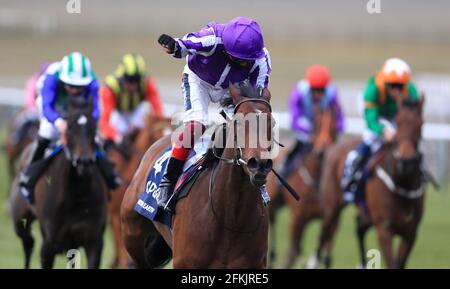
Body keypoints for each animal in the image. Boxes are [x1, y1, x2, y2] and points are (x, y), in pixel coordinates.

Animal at [9, 96, 108, 268]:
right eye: (69, 129)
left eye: (94, 128)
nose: (84, 161)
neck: (76, 193)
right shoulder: (49, 244)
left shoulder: (94, 241)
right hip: (19, 219)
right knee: (28, 242)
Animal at [268, 104, 338, 268]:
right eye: (316, 124)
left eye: (333, 127)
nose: (321, 152)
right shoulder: (298, 218)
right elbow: (293, 252)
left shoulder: (330, 219)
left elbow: (325, 254)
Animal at [310, 95, 426, 268]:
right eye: (398, 123)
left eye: (420, 124)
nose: (406, 162)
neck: (401, 182)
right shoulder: (384, 230)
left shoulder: (411, 233)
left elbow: (400, 262)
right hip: (332, 205)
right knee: (324, 231)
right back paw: (312, 262)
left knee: (359, 227)